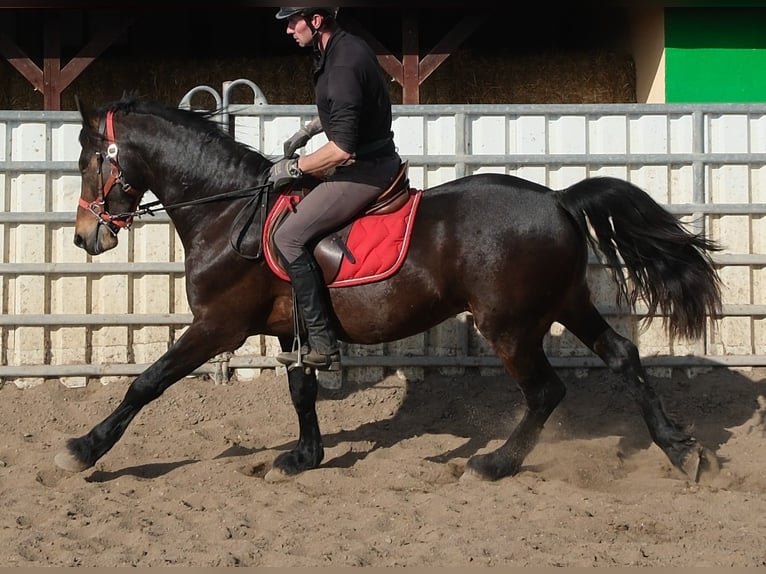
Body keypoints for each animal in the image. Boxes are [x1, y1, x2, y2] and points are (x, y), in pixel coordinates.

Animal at [56, 96, 723, 483]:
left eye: (88, 160)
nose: (86, 236)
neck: (228, 211)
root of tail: (558, 198)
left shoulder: (218, 326)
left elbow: (147, 383)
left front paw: (84, 449)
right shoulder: (290, 329)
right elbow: (301, 391)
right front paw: (304, 457)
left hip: (510, 325)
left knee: (545, 391)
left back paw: (493, 464)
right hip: (565, 304)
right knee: (623, 358)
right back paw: (681, 450)